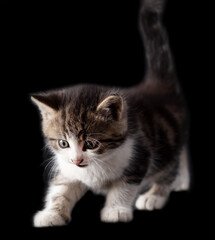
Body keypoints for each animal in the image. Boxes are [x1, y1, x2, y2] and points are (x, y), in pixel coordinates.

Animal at [30, 0, 190, 227]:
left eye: (91, 144)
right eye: (63, 143)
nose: (77, 160)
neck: (99, 162)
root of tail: (158, 86)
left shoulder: (139, 155)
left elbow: (124, 185)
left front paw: (116, 210)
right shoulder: (67, 166)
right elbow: (62, 187)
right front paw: (52, 213)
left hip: (167, 137)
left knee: (170, 163)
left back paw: (156, 194)